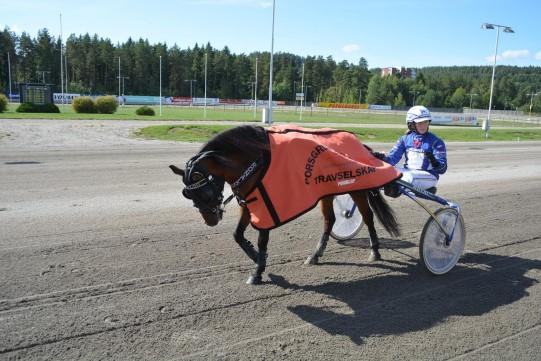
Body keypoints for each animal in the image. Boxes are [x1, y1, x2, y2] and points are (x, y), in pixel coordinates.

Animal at [169, 124, 400, 284]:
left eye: (206, 193)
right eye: (188, 195)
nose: (211, 221)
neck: (254, 158)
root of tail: (361, 144)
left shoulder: (266, 206)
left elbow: (262, 240)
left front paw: (258, 270)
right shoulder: (249, 203)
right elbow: (237, 235)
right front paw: (255, 256)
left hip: (356, 188)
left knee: (368, 217)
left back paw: (375, 251)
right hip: (326, 191)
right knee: (330, 220)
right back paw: (315, 255)